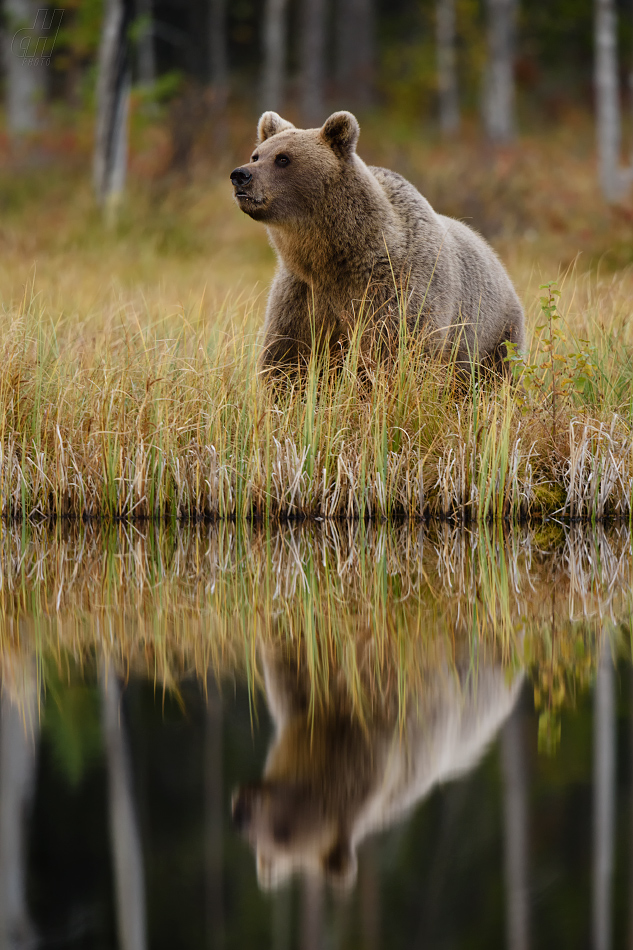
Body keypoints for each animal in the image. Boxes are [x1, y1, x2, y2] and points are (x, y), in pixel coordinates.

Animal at [231, 111, 524, 376]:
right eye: (256, 155)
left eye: (283, 158)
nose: (240, 175)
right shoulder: (300, 295)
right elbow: (287, 360)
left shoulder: (394, 292)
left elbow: (393, 356)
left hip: (495, 333)